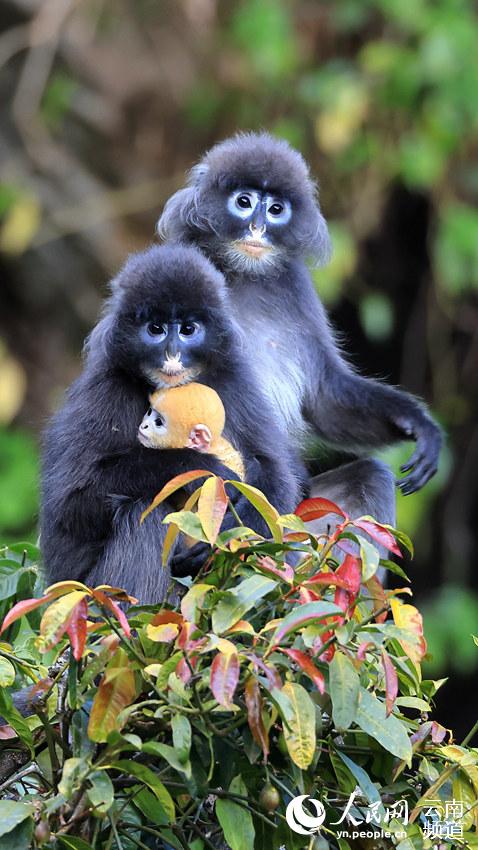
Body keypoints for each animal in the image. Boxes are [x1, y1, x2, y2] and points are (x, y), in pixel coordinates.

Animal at [41, 243, 302, 604]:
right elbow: (69, 506)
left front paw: (226, 533)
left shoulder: (235, 380)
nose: (172, 354)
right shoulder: (106, 390)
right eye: (156, 329)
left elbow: (276, 477)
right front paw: (199, 468)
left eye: (188, 330)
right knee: (143, 510)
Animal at [159, 132, 442, 528]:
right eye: (244, 202)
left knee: (371, 477)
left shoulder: (295, 283)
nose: (258, 227)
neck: (244, 273)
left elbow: (324, 398)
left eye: (276, 209)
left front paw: (416, 423)